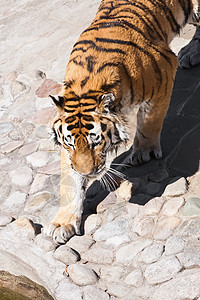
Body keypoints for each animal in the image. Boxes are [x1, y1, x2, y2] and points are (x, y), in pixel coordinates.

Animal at [43, 0, 200, 244]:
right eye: (70, 143)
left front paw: (144, 151)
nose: (87, 174)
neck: (86, 84)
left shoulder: (165, 72)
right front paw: (63, 223)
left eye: (95, 142)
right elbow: (69, 181)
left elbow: (150, 120)